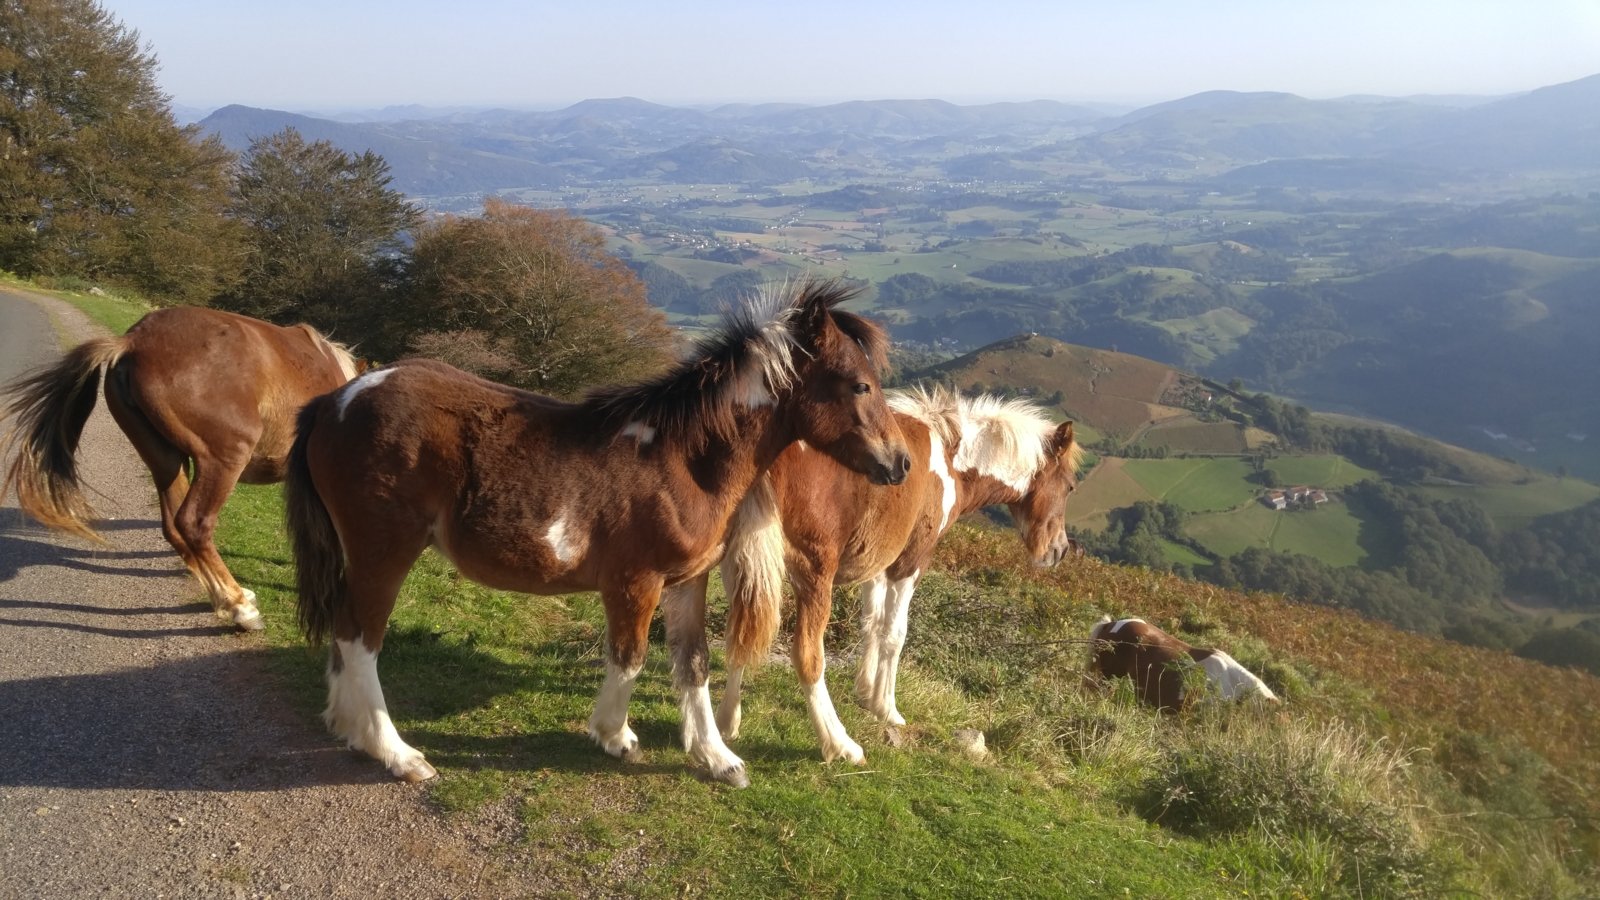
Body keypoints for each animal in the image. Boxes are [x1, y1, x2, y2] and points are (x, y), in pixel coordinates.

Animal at [2, 304, 360, 627]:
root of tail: (132, 342)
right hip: (222, 462)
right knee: (194, 524)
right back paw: (239, 606)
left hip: (166, 461)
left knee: (174, 527)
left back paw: (225, 598)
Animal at [284, 280, 915, 784]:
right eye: (859, 385)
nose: (901, 463)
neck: (683, 459)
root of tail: (334, 400)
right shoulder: (635, 581)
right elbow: (630, 657)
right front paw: (614, 735)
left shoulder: (687, 581)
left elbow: (693, 663)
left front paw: (716, 757)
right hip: (383, 549)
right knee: (361, 638)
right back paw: (395, 752)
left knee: (343, 631)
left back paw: (346, 725)